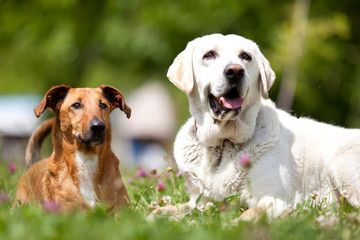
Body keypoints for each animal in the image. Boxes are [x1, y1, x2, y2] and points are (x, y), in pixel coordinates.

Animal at [148, 33, 360, 221]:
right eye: (209, 54)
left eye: (245, 56)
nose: (235, 71)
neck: (223, 143)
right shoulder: (199, 202)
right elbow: (164, 210)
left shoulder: (275, 199)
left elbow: (247, 215)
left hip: (340, 164)